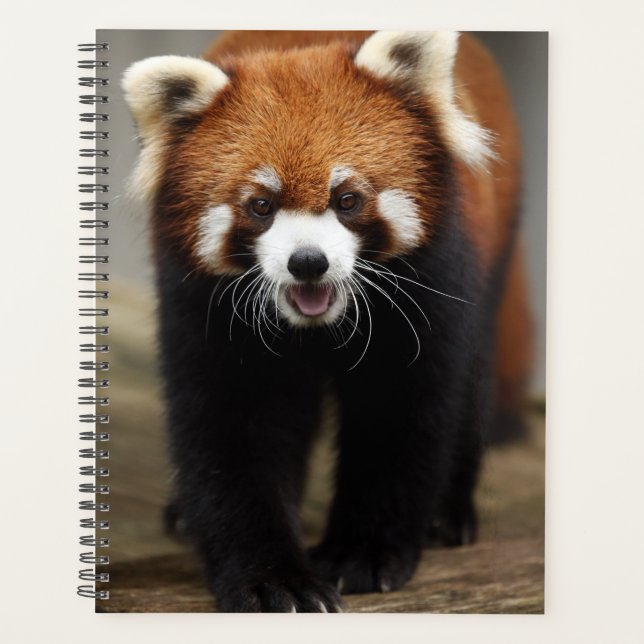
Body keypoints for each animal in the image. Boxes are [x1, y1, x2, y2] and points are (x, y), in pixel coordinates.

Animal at [122, 30, 532, 612]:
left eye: (347, 199)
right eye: (261, 205)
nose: (308, 262)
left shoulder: (428, 282)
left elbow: (397, 414)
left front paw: (362, 554)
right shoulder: (205, 307)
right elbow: (236, 429)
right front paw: (272, 579)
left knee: (472, 375)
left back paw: (447, 513)